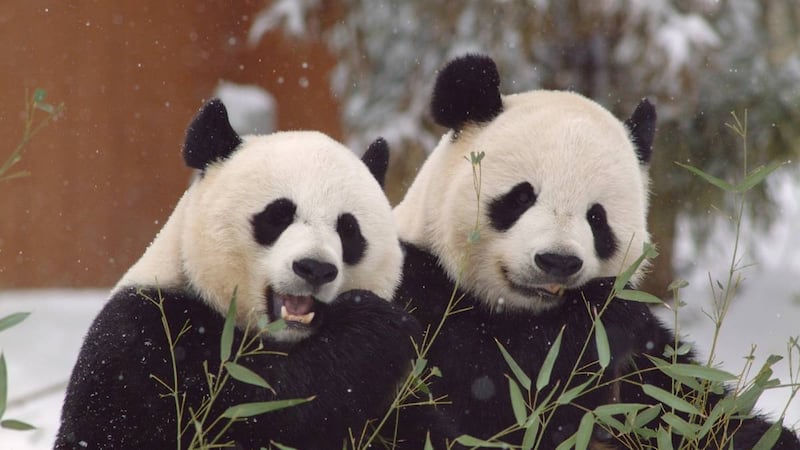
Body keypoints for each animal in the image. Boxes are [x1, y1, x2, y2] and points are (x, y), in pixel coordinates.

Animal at [56, 99, 434, 449]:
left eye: (348, 230)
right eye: (278, 215)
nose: (315, 268)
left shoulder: (402, 399)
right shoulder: (146, 338)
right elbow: (266, 409)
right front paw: (375, 325)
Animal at [393, 54, 800, 449]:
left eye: (597, 218)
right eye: (521, 197)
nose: (557, 261)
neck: (523, 312)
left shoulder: (649, 366)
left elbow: (696, 411)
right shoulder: (423, 295)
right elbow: (493, 392)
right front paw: (599, 315)